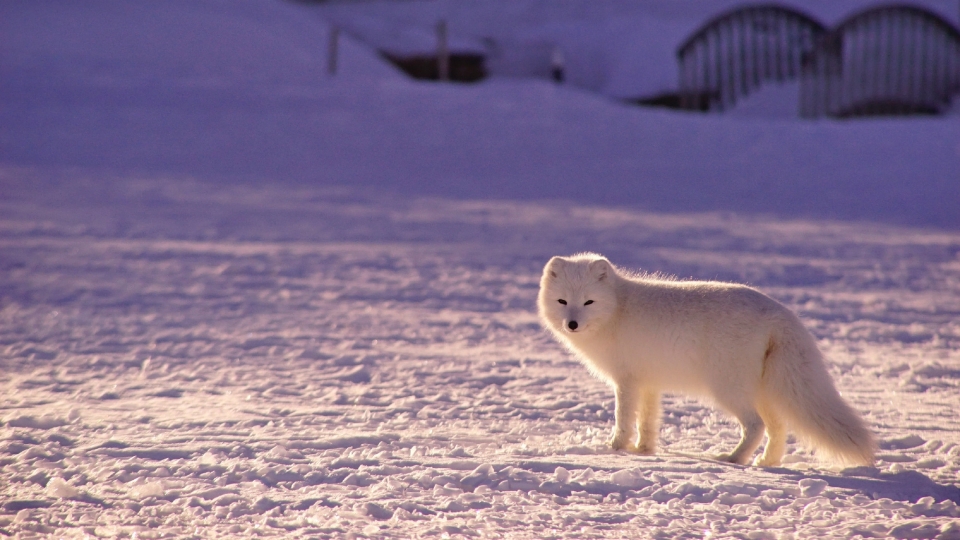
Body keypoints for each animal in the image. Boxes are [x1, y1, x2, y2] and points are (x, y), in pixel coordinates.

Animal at [540, 253, 876, 468]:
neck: (617, 309)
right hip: (764, 391)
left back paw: (734, 459)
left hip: (727, 389)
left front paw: (615, 448)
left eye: (588, 302)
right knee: (778, 428)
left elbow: (623, 418)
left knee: (756, 425)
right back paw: (767, 462)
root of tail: (781, 313)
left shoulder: (627, 381)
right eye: (562, 302)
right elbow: (648, 421)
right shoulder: (649, 383)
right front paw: (644, 450)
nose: (572, 324)